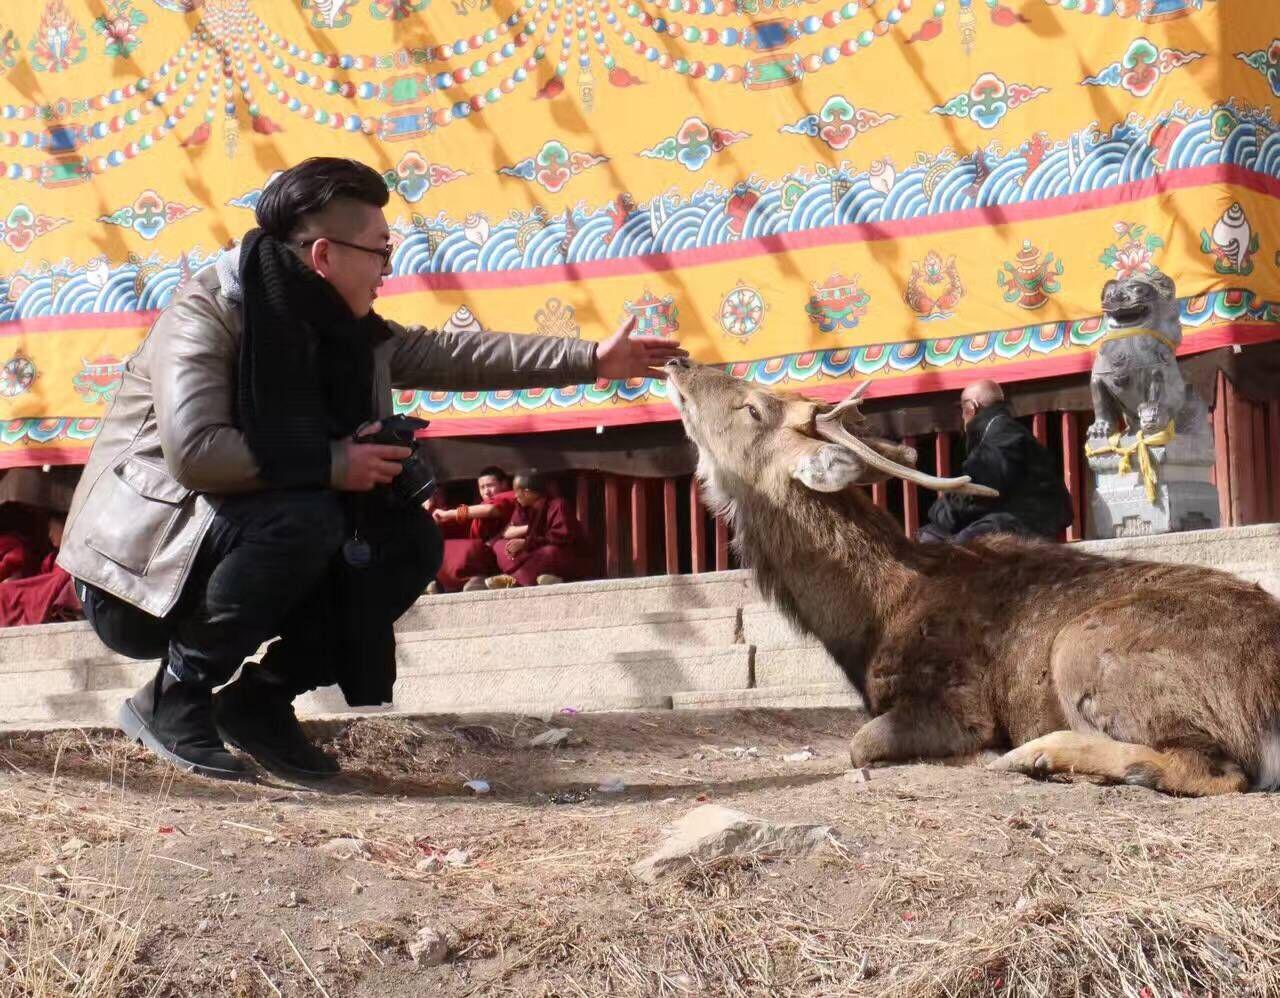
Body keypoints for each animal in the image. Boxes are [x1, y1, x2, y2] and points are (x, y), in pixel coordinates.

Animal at [665, 358, 1280, 793]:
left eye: (753, 408)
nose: (677, 362)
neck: (871, 620)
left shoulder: (955, 698)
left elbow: (859, 744)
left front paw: (979, 753)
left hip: (1087, 647)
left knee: (1216, 770)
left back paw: (1039, 754)